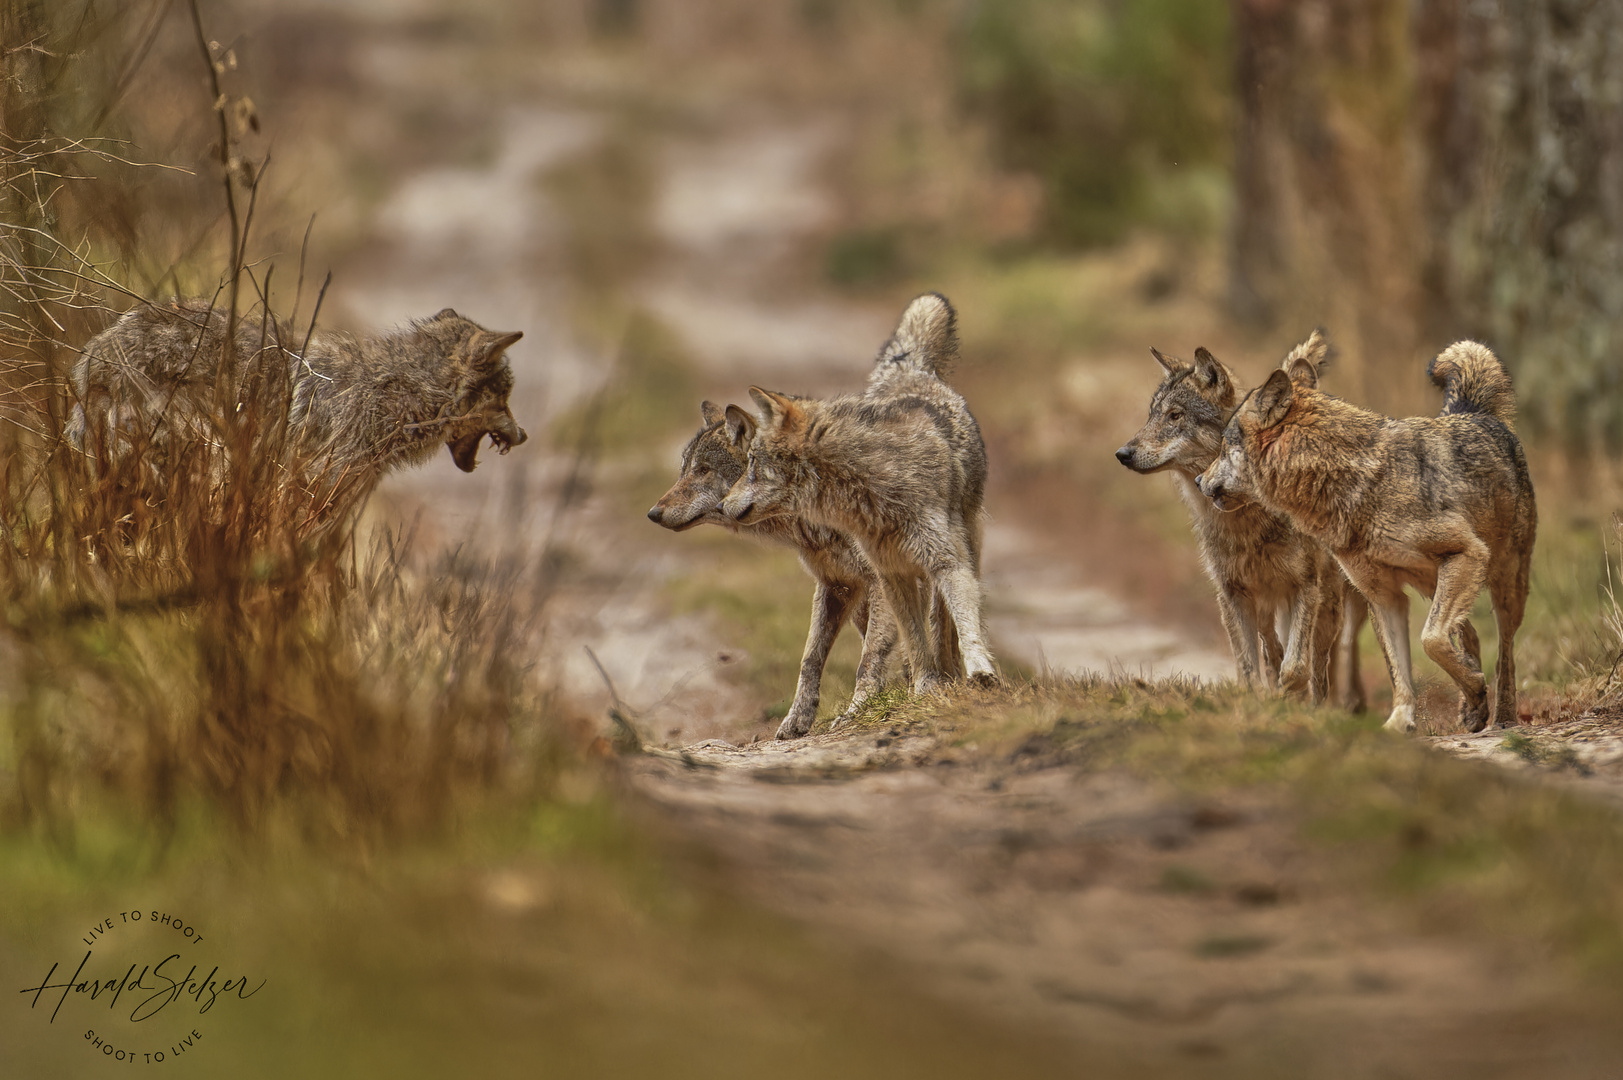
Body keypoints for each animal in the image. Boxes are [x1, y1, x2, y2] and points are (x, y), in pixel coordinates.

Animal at [645, 399, 902, 737]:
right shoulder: (836, 585)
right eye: (684, 470)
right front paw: (797, 719)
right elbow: (810, 659)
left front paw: (860, 710)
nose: (653, 513)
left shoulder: (878, 581)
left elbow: (871, 655)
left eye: (703, 470)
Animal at [720, 292, 993, 691]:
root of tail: (908, 372)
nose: (722, 504)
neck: (869, 492)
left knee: (944, 620)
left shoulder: (945, 561)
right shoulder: (890, 573)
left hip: (965, 544)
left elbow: (961, 624)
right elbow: (913, 640)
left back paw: (954, 669)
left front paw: (978, 671)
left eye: (752, 461)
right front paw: (924, 686)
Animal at [1116, 331, 1356, 708]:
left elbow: (1296, 669)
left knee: (1318, 665)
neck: (1244, 519)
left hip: (1328, 606)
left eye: (1175, 415)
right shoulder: (1231, 593)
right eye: (1151, 415)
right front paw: (1261, 699)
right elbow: (1248, 668)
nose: (1122, 454)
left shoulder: (1305, 587)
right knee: (1271, 645)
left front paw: (1292, 700)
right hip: (1266, 603)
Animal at [1201, 341, 1538, 737]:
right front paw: (1401, 722)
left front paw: (1473, 687)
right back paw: (1471, 709)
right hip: (1433, 583)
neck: (1352, 482)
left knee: (1504, 651)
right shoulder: (1384, 595)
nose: (1199, 480)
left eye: (1224, 447)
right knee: (1466, 631)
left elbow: (1431, 641)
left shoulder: (1465, 552)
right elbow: (1402, 669)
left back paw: (1503, 715)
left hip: (1504, 584)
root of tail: (1473, 412)